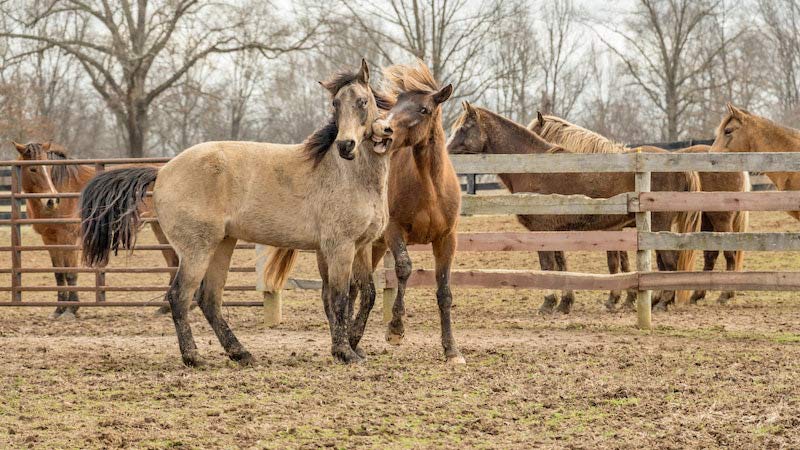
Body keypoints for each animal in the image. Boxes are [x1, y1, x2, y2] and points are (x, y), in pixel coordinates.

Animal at [11, 142, 177, 318]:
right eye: (33, 169)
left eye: (49, 169)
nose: (52, 200)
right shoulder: (49, 239)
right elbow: (59, 274)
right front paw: (58, 310)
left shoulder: (69, 238)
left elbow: (70, 273)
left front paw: (71, 309)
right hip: (159, 228)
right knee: (174, 262)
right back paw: (164, 307)